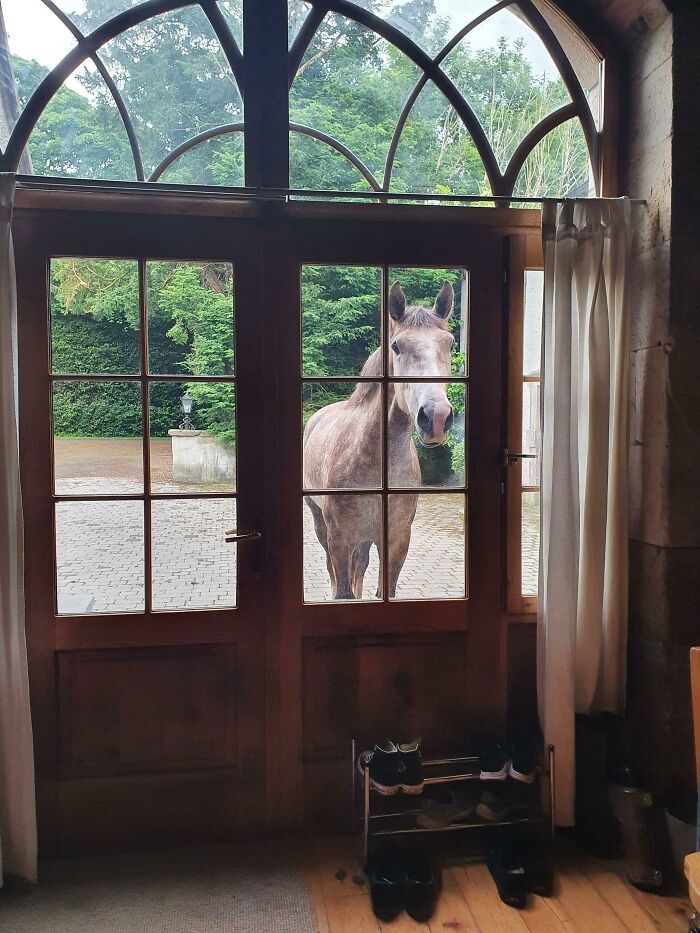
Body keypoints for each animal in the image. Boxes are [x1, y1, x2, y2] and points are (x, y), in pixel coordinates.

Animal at [303, 280, 455, 599]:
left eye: (449, 344)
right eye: (396, 346)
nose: (436, 417)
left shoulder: (397, 542)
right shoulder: (339, 540)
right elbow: (342, 588)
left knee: (360, 565)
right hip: (320, 523)